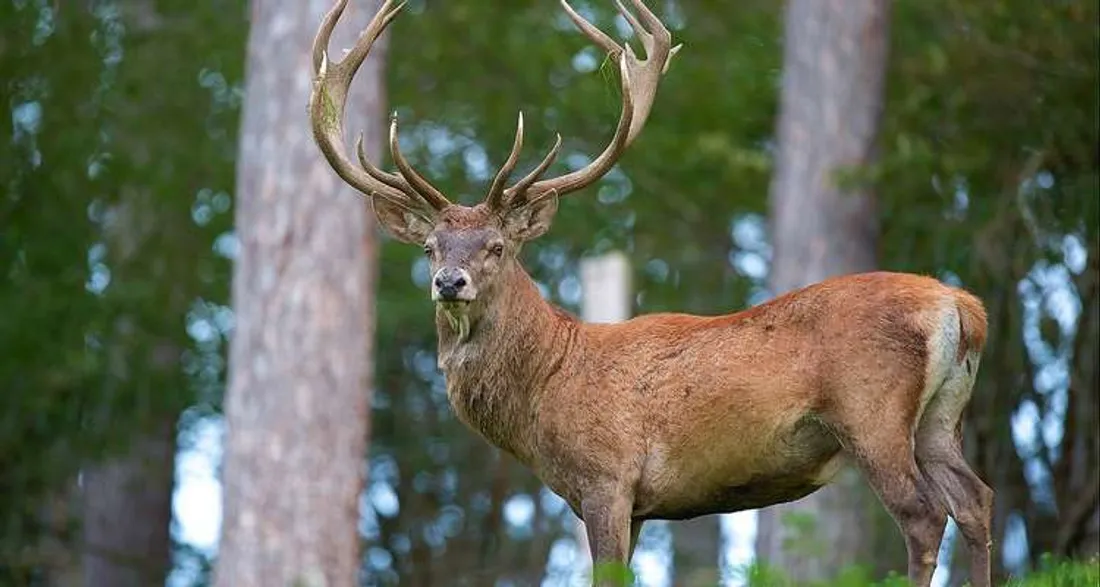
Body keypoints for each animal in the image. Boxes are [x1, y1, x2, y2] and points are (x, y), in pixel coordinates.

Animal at [308, 1, 994, 585]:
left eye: (497, 246)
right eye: (430, 248)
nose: (449, 282)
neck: (546, 389)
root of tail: (963, 308)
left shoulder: (607, 480)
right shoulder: (636, 505)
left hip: (871, 412)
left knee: (924, 515)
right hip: (940, 419)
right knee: (977, 501)